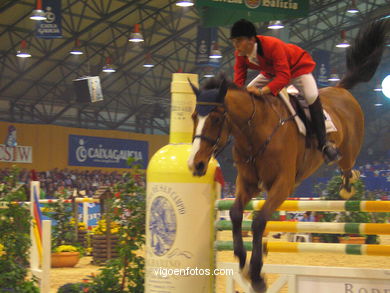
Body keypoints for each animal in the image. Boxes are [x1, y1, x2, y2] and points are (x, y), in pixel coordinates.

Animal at [187, 20, 388, 290]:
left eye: (217, 118)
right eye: (194, 117)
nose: (196, 164)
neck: (254, 131)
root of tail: (339, 88)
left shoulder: (283, 185)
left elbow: (259, 220)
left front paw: (257, 275)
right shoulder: (247, 183)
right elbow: (236, 214)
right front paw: (242, 261)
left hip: (348, 150)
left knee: (347, 166)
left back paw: (347, 187)